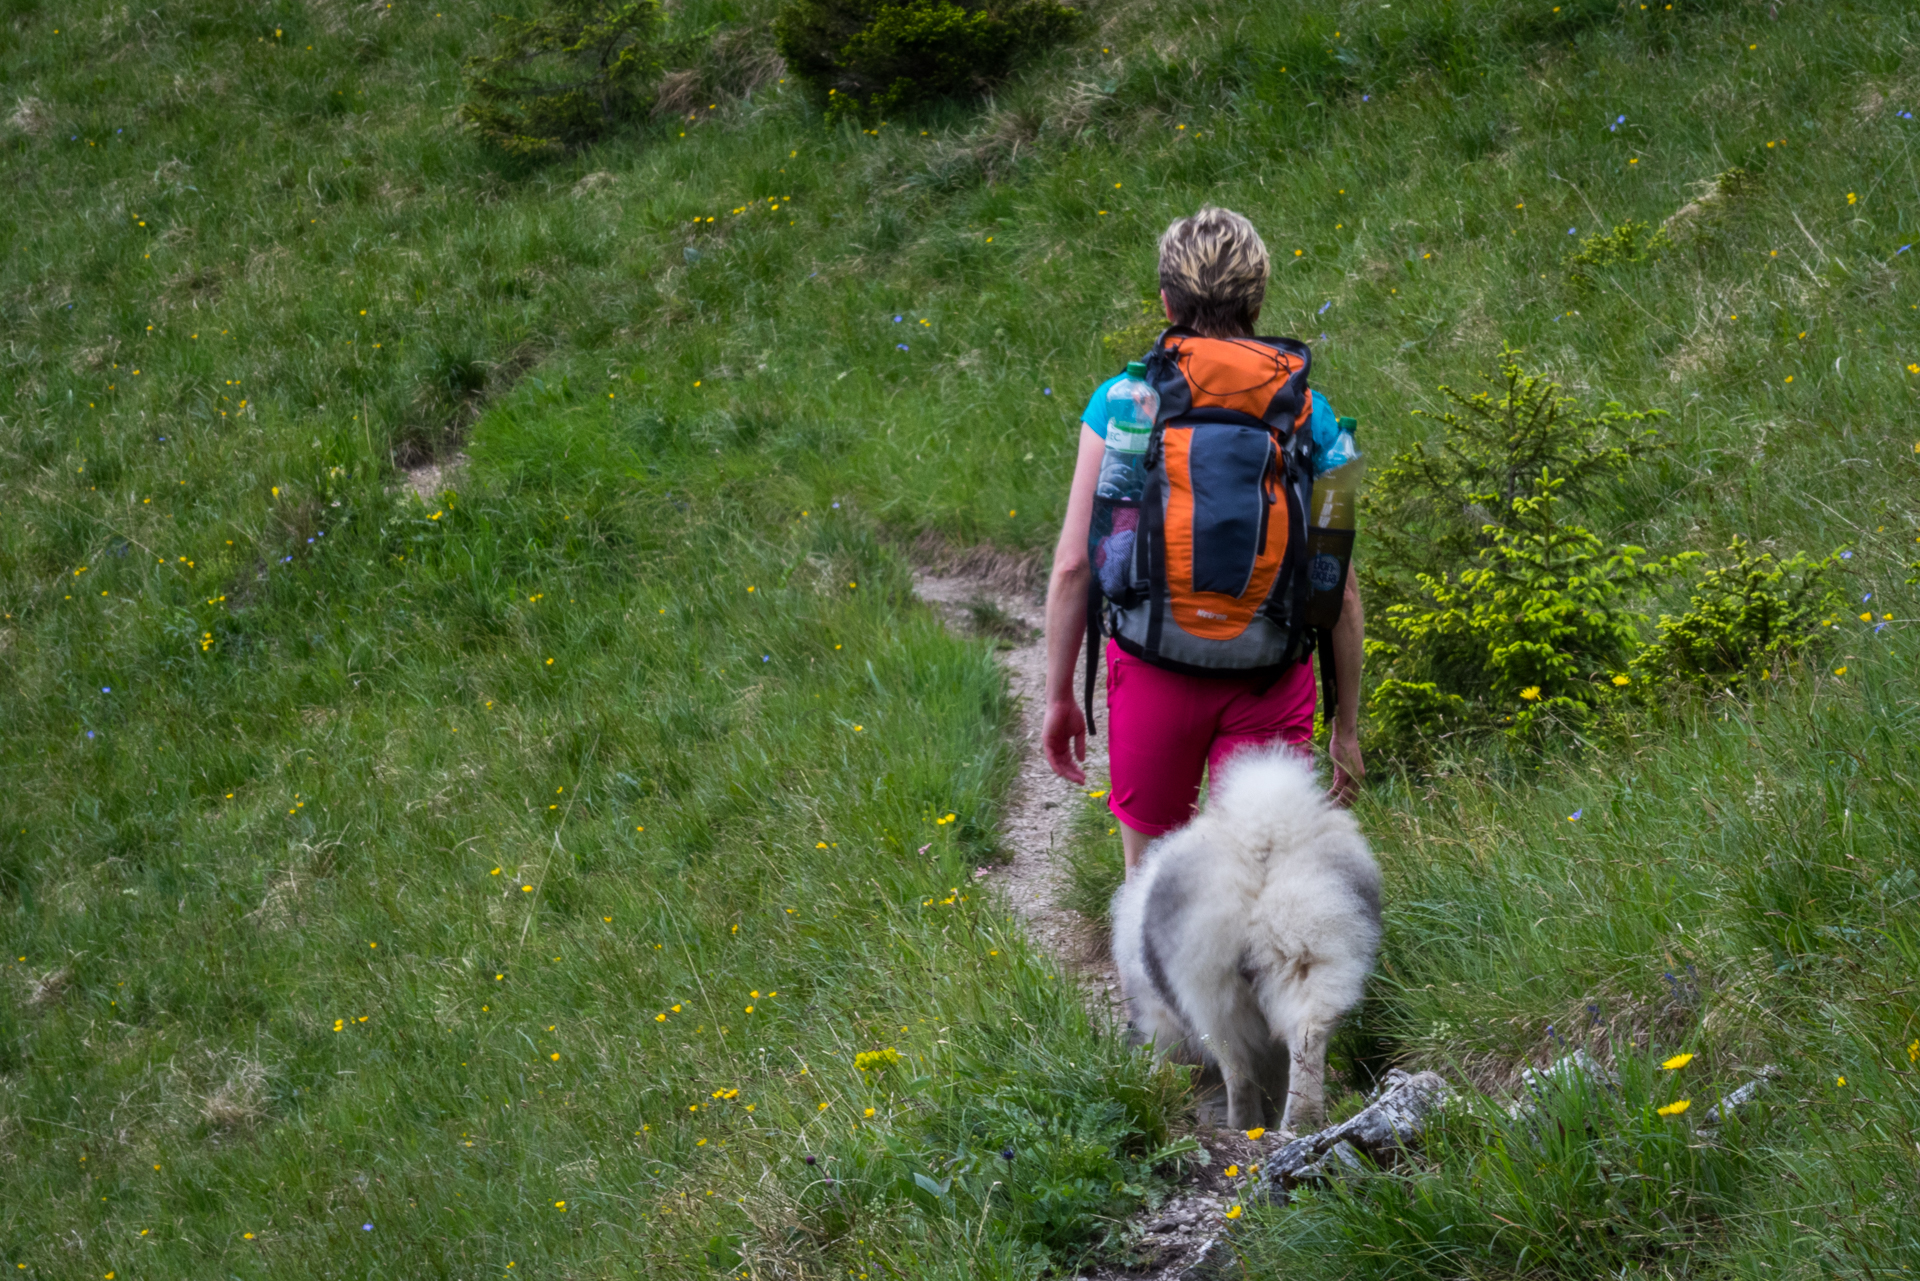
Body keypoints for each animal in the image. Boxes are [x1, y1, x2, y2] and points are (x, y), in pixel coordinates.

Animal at [1113, 752, 1382, 1129]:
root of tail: (1264, 840)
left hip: (1213, 995)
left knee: (1237, 1071)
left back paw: (1245, 1125)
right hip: (1314, 955)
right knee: (1307, 1039)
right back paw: (1301, 1121)